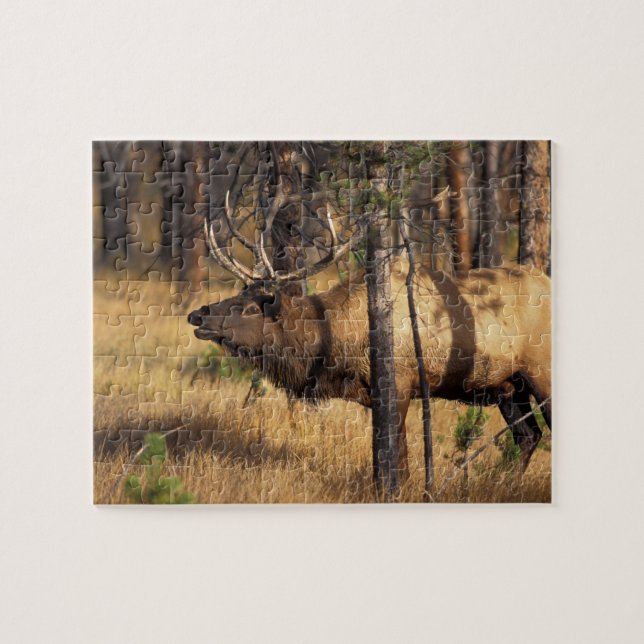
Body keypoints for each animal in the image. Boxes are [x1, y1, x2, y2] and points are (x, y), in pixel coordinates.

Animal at [188, 187, 552, 479]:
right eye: (237, 294)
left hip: (539, 373)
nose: (198, 315)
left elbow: (397, 456)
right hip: (508, 385)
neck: (332, 343)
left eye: (251, 308)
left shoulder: (400, 384)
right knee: (528, 436)